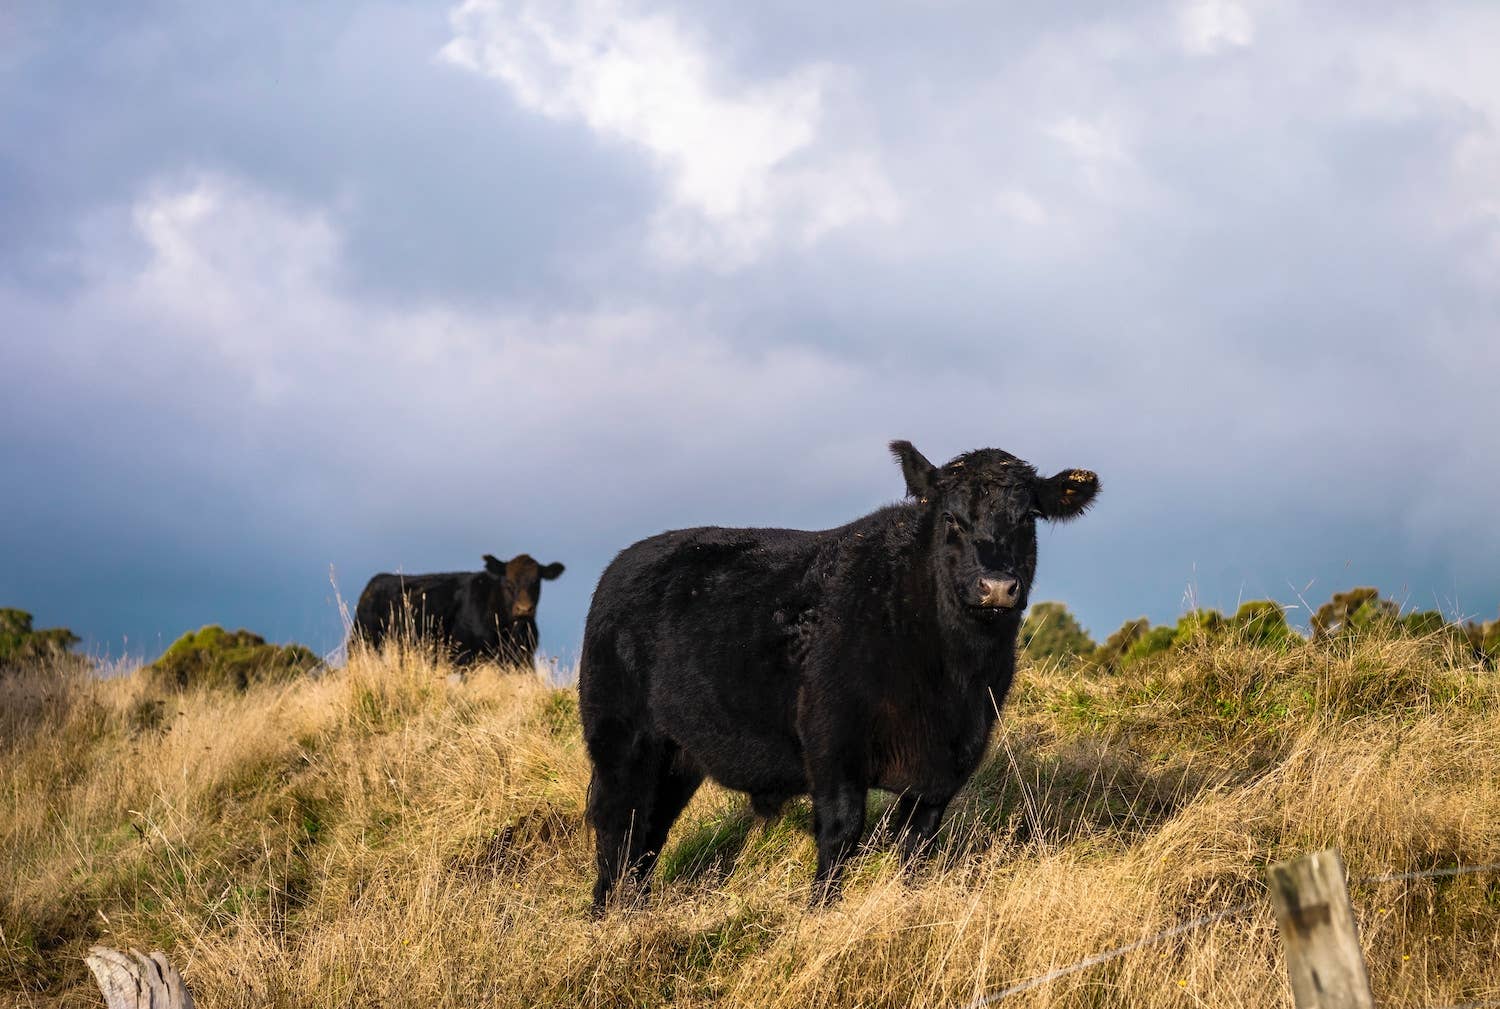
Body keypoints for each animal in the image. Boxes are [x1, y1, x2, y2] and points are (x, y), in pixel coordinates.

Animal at [352, 553, 564, 667]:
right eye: (509, 583)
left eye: (536, 582)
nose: (524, 609)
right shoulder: (466, 655)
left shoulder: (522, 658)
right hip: (363, 642)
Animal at [578, 441, 1098, 911]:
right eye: (951, 518)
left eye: (1027, 517)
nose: (996, 587)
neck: (951, 677)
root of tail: (627, 560)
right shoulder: (832, 742)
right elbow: (841, 832)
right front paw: (820, 912)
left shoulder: (949, 763)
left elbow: (918, 847)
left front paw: (909, 906)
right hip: (622, 738)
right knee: (619, 822)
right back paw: (609, 915)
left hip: (680, 755)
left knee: (650, 831)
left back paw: (634, 910)